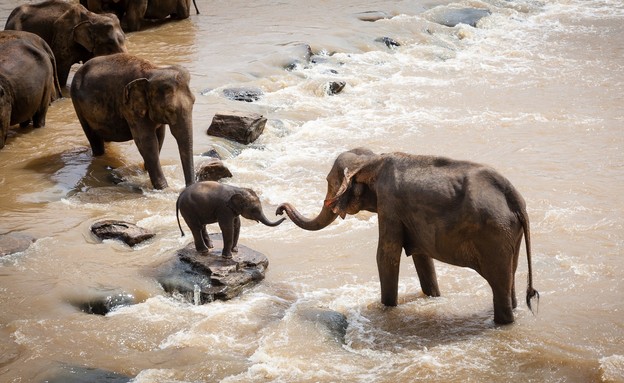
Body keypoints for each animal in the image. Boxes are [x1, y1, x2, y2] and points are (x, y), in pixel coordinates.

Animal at [68, 53, 196, 191]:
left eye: (194, 101)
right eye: (169, 109)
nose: (187, 187)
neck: (153, 71)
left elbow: (160, 137)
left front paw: (146, 171)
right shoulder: (129, 108)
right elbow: (147, 142)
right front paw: (163, 188)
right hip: (77, 105)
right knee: (94, 139)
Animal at [276, 148, 540, 326]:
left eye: (329, 182)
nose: (279, 210)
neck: (372, 160)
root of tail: (516, 200)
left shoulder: (389, 206)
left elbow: (385, 255)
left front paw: (386, 308)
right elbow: (422, 257)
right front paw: (433, 297)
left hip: (495, 235)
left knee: (499, 283)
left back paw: (502, 323)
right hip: (509, 235)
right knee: (509, 277)